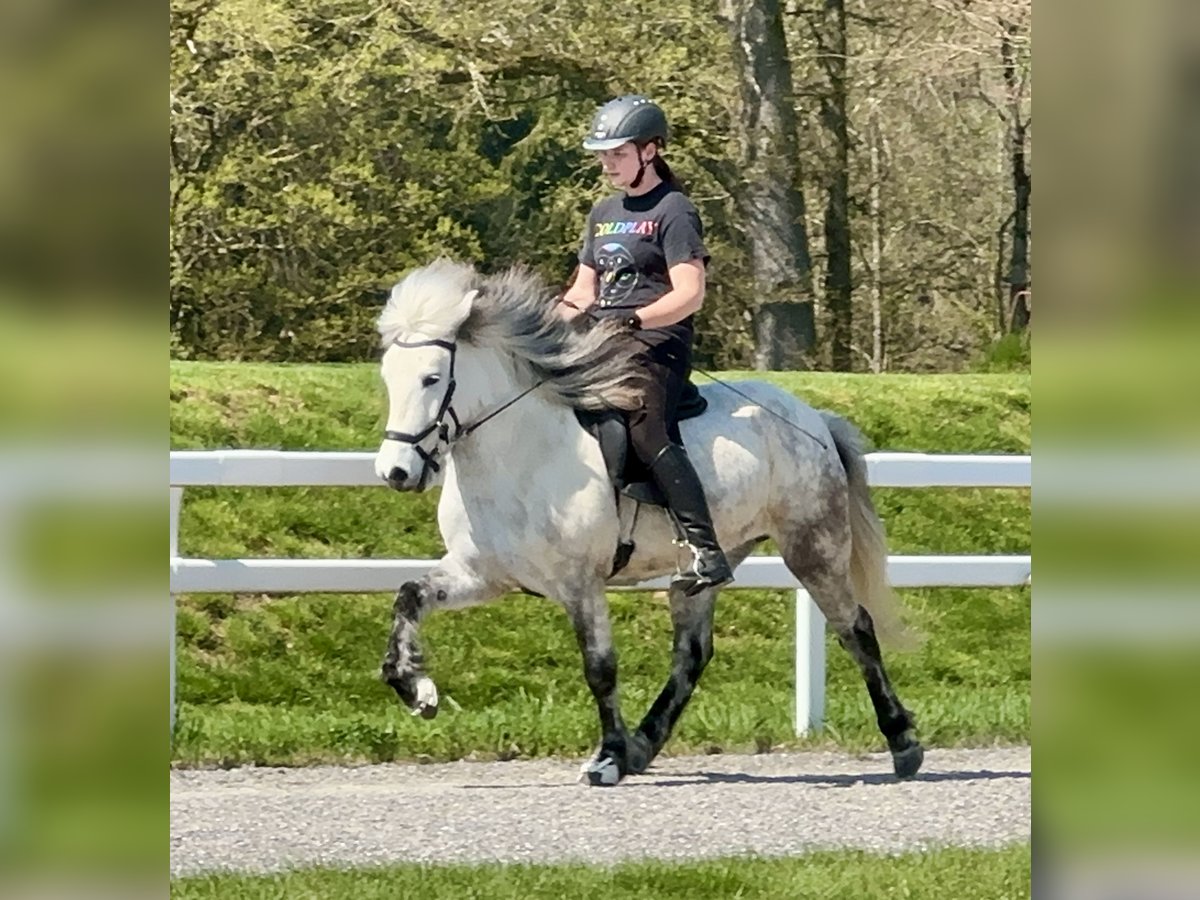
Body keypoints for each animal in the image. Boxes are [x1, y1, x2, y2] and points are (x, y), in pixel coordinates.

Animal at [369, 260, 921, 787]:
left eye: (432, 378)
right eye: (387, 377)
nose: (396, 472)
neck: (519, 454)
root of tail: (813, 418)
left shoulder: (580, 584)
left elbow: (600, 668)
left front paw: (607, 758)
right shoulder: (482, 575)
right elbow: (409, 596)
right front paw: (416, 689)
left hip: (813, 547)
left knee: (855, 629)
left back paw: (903, 744)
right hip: (706, 567)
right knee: (693, 652)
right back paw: (643, 745)